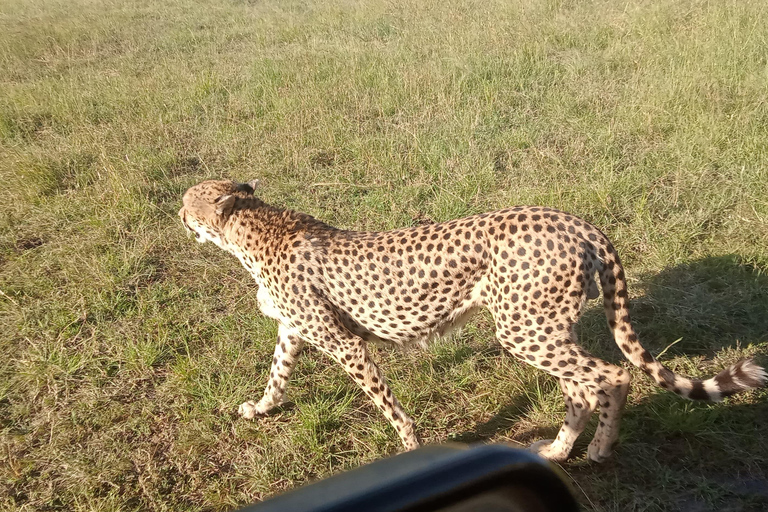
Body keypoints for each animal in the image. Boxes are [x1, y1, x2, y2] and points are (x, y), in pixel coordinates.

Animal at [182, 180, 768, 464]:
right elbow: (276, 376)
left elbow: (386, 405)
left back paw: (599, 451)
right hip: (547, 328)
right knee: (581, 387)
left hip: (525, 330)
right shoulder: (293, 333)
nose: (178, 214)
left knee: (613, 375)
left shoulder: (347, 344)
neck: (255, 230)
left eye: (189, 201)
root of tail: (577, 222)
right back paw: (558, 450)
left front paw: (410, 448)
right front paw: (259, 409)